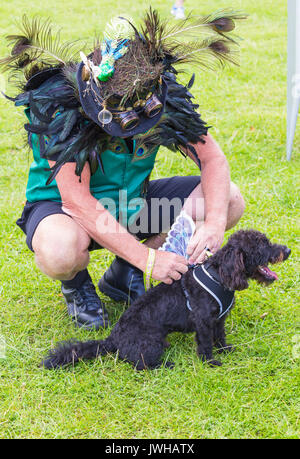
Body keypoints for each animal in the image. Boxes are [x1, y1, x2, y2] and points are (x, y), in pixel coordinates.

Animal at [42, 230, 290, 370]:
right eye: (263, 246)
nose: (287, 250)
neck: (219, 276)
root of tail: (112, 338)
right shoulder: (203, 322)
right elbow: (206, 343)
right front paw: (210, 362)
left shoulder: (218, 320)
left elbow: (220, 337)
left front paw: (225, 350)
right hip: (151, 344)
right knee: (138, 363)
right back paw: (166, 365)